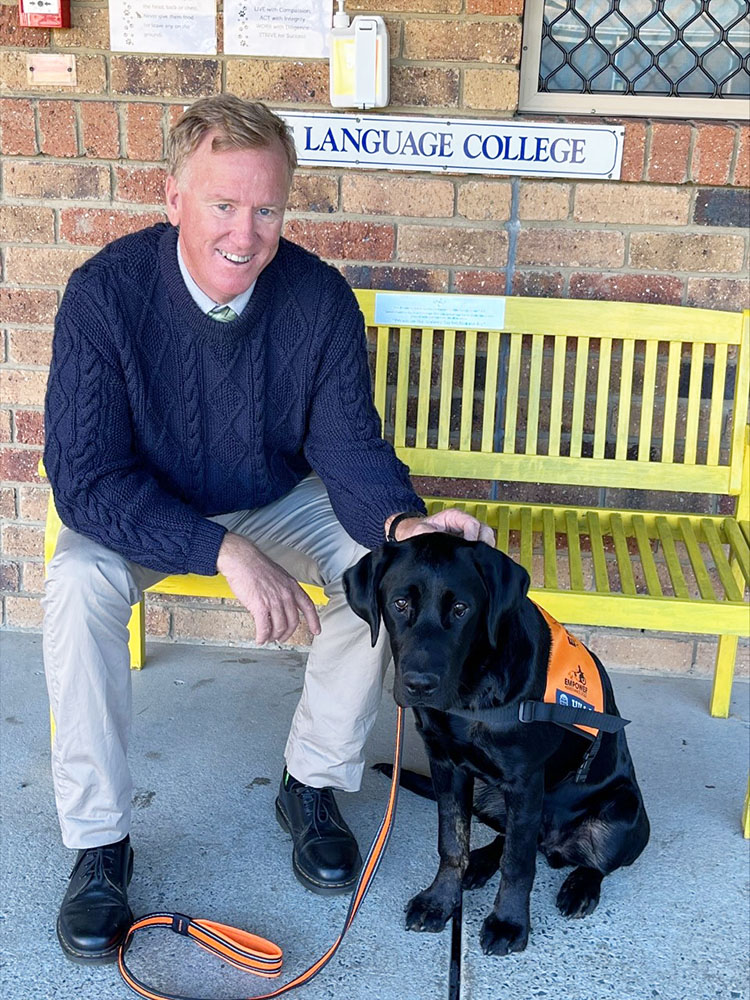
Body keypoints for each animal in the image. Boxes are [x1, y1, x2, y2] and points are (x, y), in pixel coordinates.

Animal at [344, 536, 648, 956]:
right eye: (400, 603)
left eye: (461, 609)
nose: (420, 685)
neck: (471, 692)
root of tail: (555, 844)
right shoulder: (446, 766)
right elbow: (452, 842)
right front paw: (440, 901)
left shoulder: (525, 781)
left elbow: (518, 864)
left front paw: (508, 923)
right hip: (489, 795)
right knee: (508, 838)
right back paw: (479, 864)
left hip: (625, 811)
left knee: (593, 861)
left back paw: (580, 888)